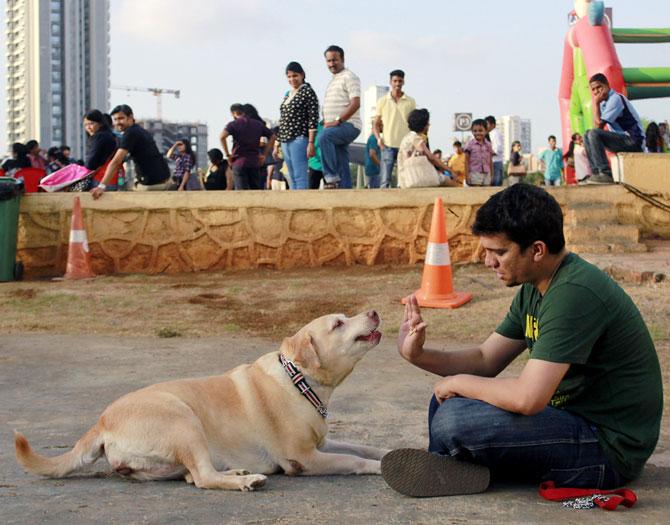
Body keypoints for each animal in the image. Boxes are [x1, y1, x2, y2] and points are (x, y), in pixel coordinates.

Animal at [14, 310, 388, 490]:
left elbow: (362, 447)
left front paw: (386, 452)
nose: (373, 312)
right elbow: (353, 460)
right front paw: (379, 467)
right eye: (338, 323)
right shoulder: (304, 458)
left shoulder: (323, 442)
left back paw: (238, 472)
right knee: (203, 478)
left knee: (194, 475)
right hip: (183, 419)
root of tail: (101, 422)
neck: (299, 380)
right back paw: (246, 480)